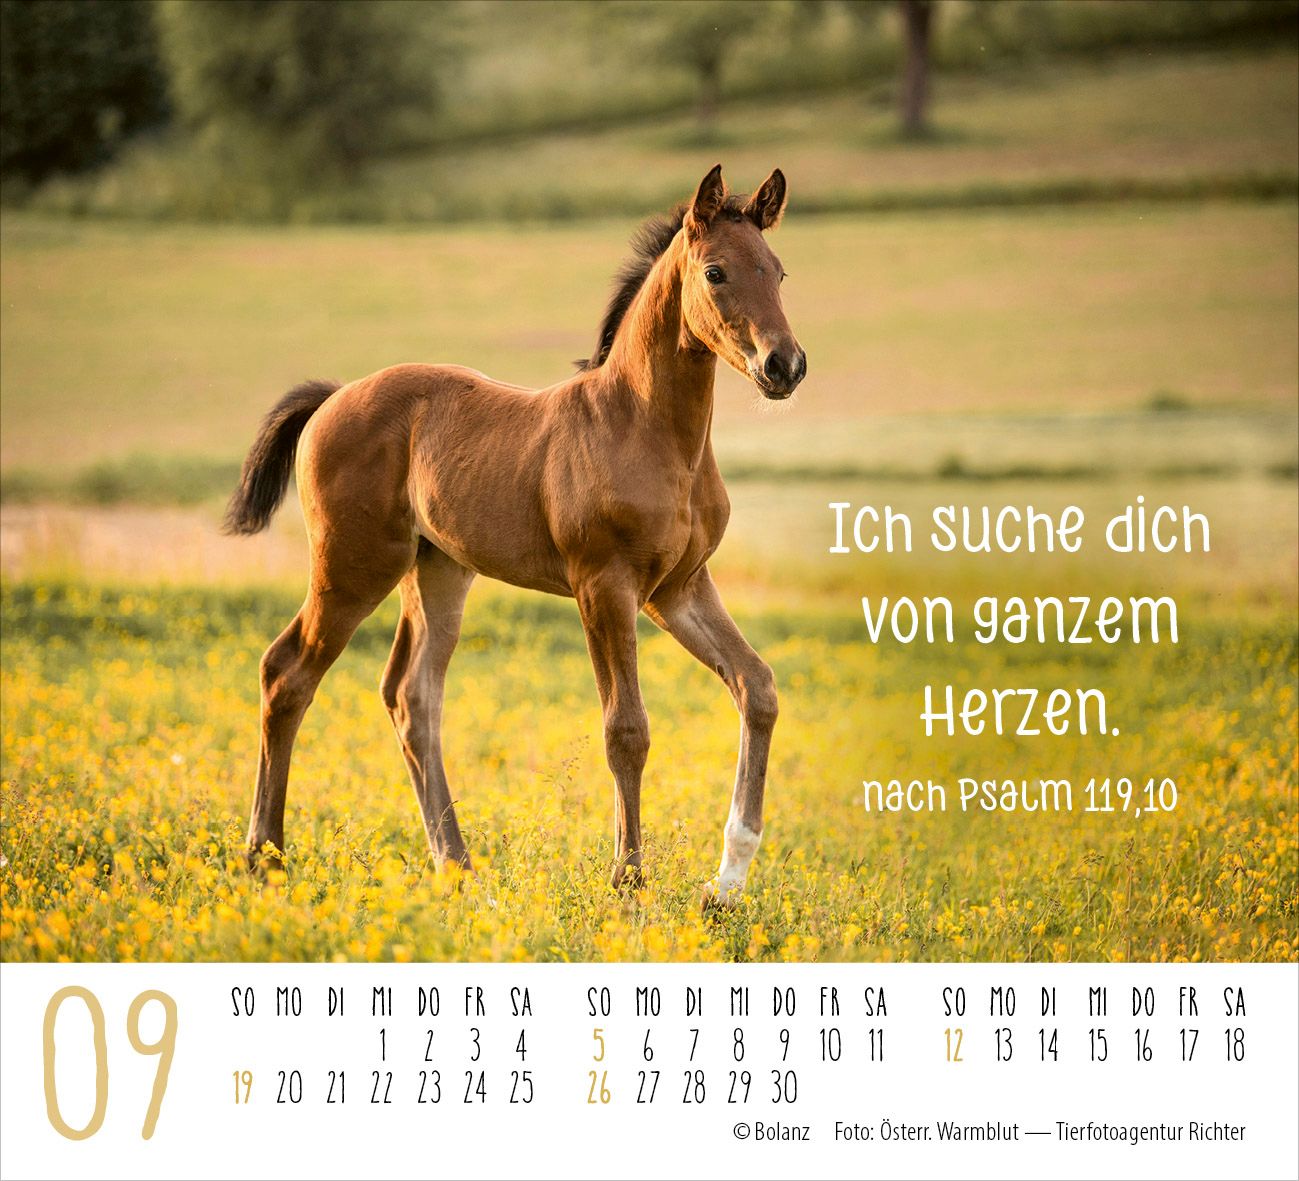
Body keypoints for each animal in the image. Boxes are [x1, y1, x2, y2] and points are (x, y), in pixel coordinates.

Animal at [224, 164, 806, 905]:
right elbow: (626, 728)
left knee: (412, 698)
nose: (784, 365)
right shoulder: (604, 585)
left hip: (437, 570)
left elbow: (756, 687)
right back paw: (265, 859)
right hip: (352, 566)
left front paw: (726, 881)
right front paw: (627, 881)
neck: (644, 427)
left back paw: (457, 867)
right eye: (716, 272)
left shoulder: (677, 588)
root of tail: (332, 396)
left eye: (778, 271)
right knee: (287, 673)